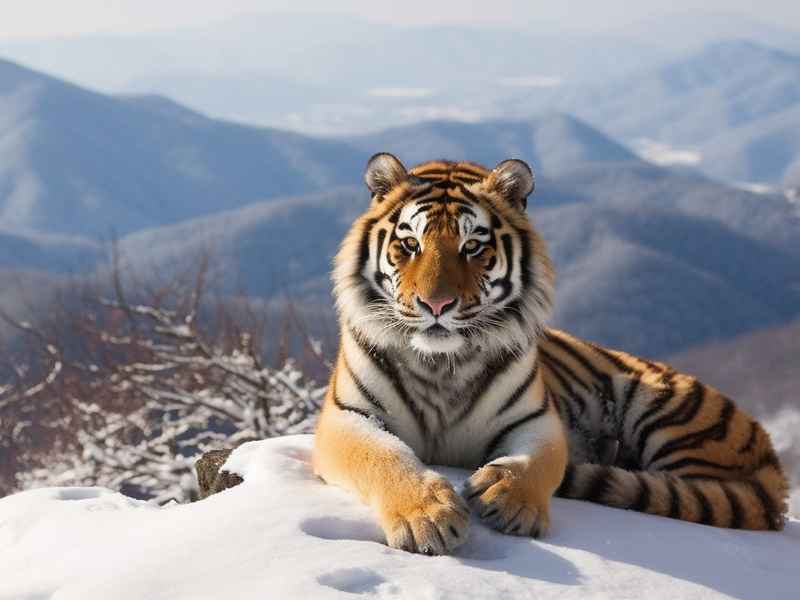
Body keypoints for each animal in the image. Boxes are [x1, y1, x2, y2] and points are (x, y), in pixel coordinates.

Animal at [312, 153, 789, 555]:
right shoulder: (349, 415)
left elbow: (535, 461)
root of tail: (771, 458)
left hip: (665, 411)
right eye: (410, 244)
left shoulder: (536, 419)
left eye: (473, 247)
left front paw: (509, 499)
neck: (441, 363)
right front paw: (426, 518)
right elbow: (385, 456)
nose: (436, 305)